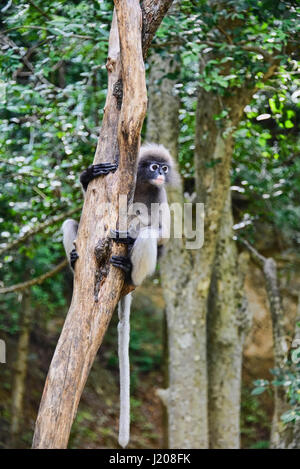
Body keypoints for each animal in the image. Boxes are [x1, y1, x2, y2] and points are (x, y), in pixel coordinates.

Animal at [61, 142, 178, 446]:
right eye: (154, 167)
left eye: (164, 169)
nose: (160, 174)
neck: (147, 185)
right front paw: (87, 175)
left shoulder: (160, 196)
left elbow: (163, 235)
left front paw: (128, 237)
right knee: (70, 223)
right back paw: (75, 260)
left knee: (148, 236)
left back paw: (128, 269)